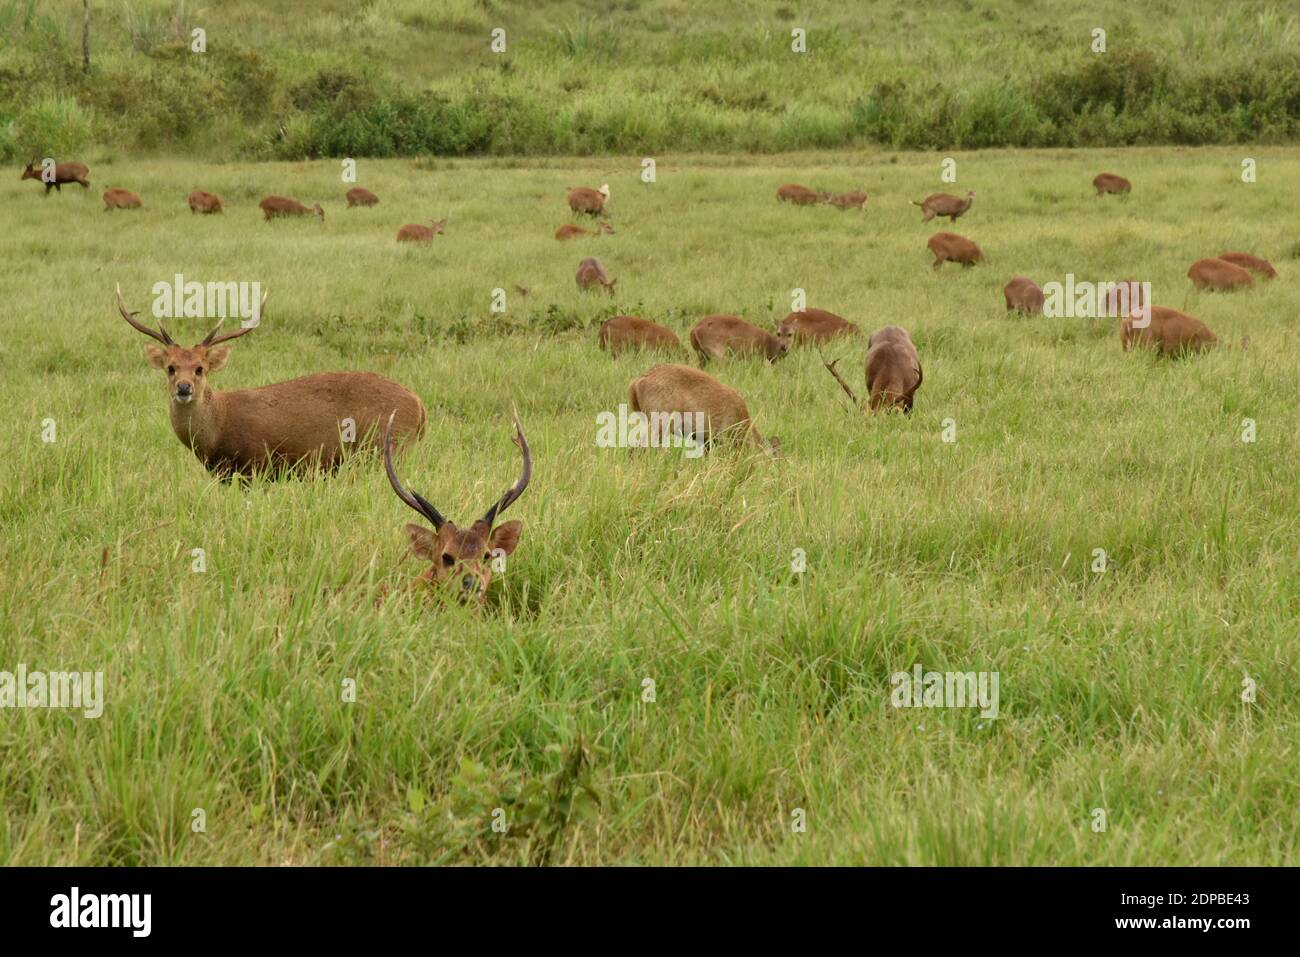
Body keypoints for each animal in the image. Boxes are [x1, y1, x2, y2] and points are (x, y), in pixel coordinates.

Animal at [117, 285, 426, 478]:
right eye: (171, 368)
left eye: (200, 369)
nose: (183, 388)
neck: (218, 428)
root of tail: (420, 406)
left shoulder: (255, 464)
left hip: (389, 445)